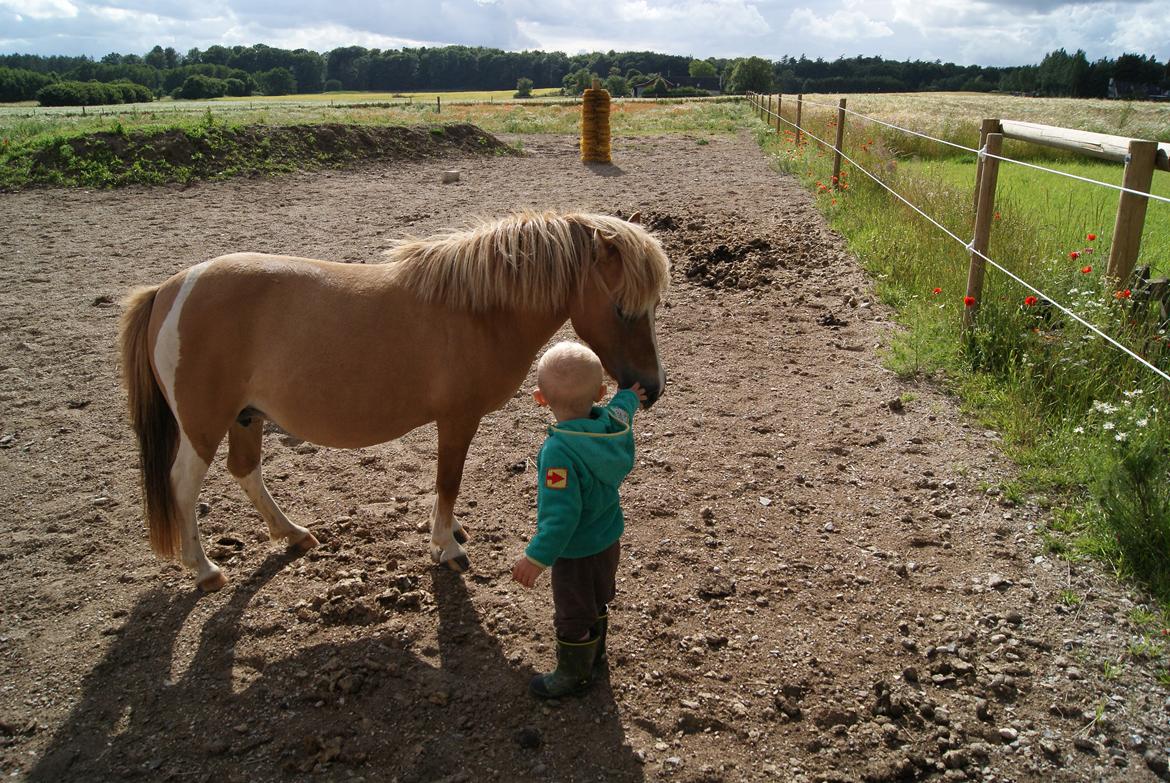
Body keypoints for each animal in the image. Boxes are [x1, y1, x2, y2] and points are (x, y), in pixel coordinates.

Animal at [119, 210, 670, 591]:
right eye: (622, 309)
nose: (652, 387)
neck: (479, 312)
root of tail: (168, 290)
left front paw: (450, 533)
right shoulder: (457, 419)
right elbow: (448, 481)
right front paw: (445, 545)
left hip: (246, 417)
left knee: (245, 471)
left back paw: (293, 533)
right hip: (203, 424)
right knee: (182, 485)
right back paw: (205, 570)